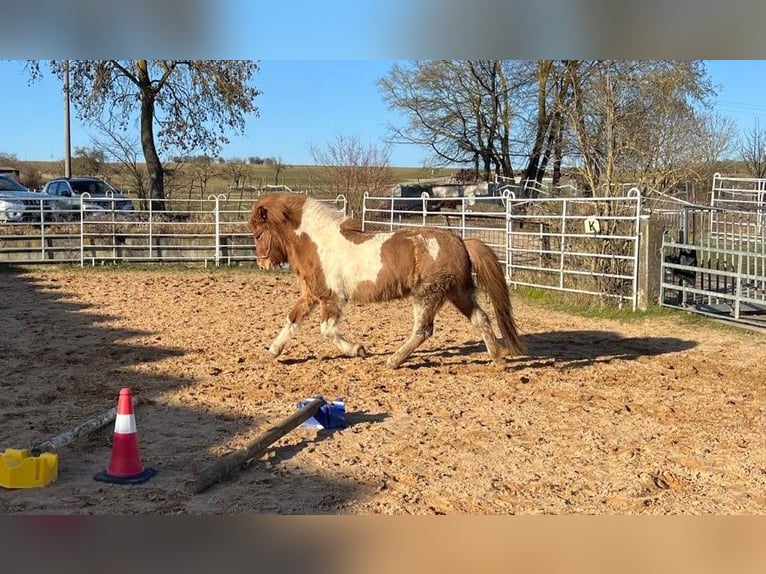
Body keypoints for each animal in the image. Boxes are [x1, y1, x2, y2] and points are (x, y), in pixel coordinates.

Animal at [248, 192, 526, 368]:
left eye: (259, 234)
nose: (262, 264)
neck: (318, 242)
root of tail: (460, 241)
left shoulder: (332, 298)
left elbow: (326, 330)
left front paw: (358, 350)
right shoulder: (312, 295)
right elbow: (292, 320)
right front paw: (272, 351)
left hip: (428, 295)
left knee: (423, 330)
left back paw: (392, 361)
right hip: (457, 293)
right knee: (481, 319)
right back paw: (498, 360)